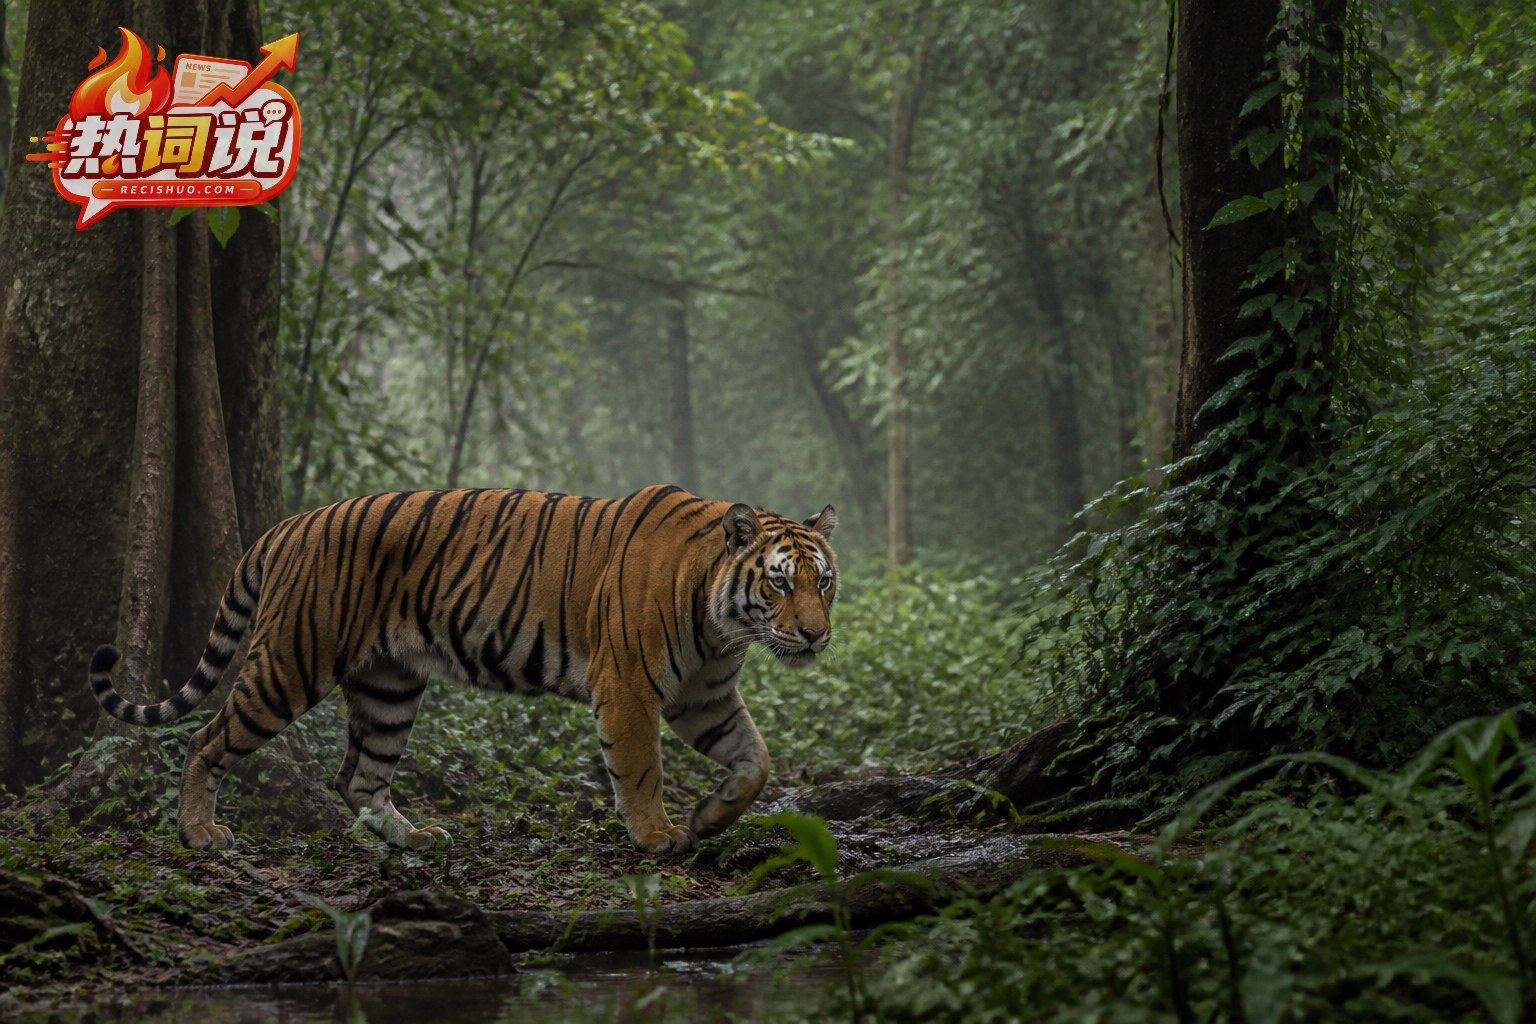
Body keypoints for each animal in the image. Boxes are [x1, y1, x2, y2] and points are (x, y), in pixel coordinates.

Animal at [88, 484, 838, 855]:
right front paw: (659, 837)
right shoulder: (628, 687)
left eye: (823, 582)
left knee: (358, 777)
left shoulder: (702, 697)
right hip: (291, 662)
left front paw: (714, 815)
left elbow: (756, 761)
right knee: (204, 738)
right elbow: (642, 769)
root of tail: (289, 524)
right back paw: (198, 833)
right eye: (778, 583)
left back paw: (416, 840)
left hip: (389, 684)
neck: (723, 627)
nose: (815, 635)